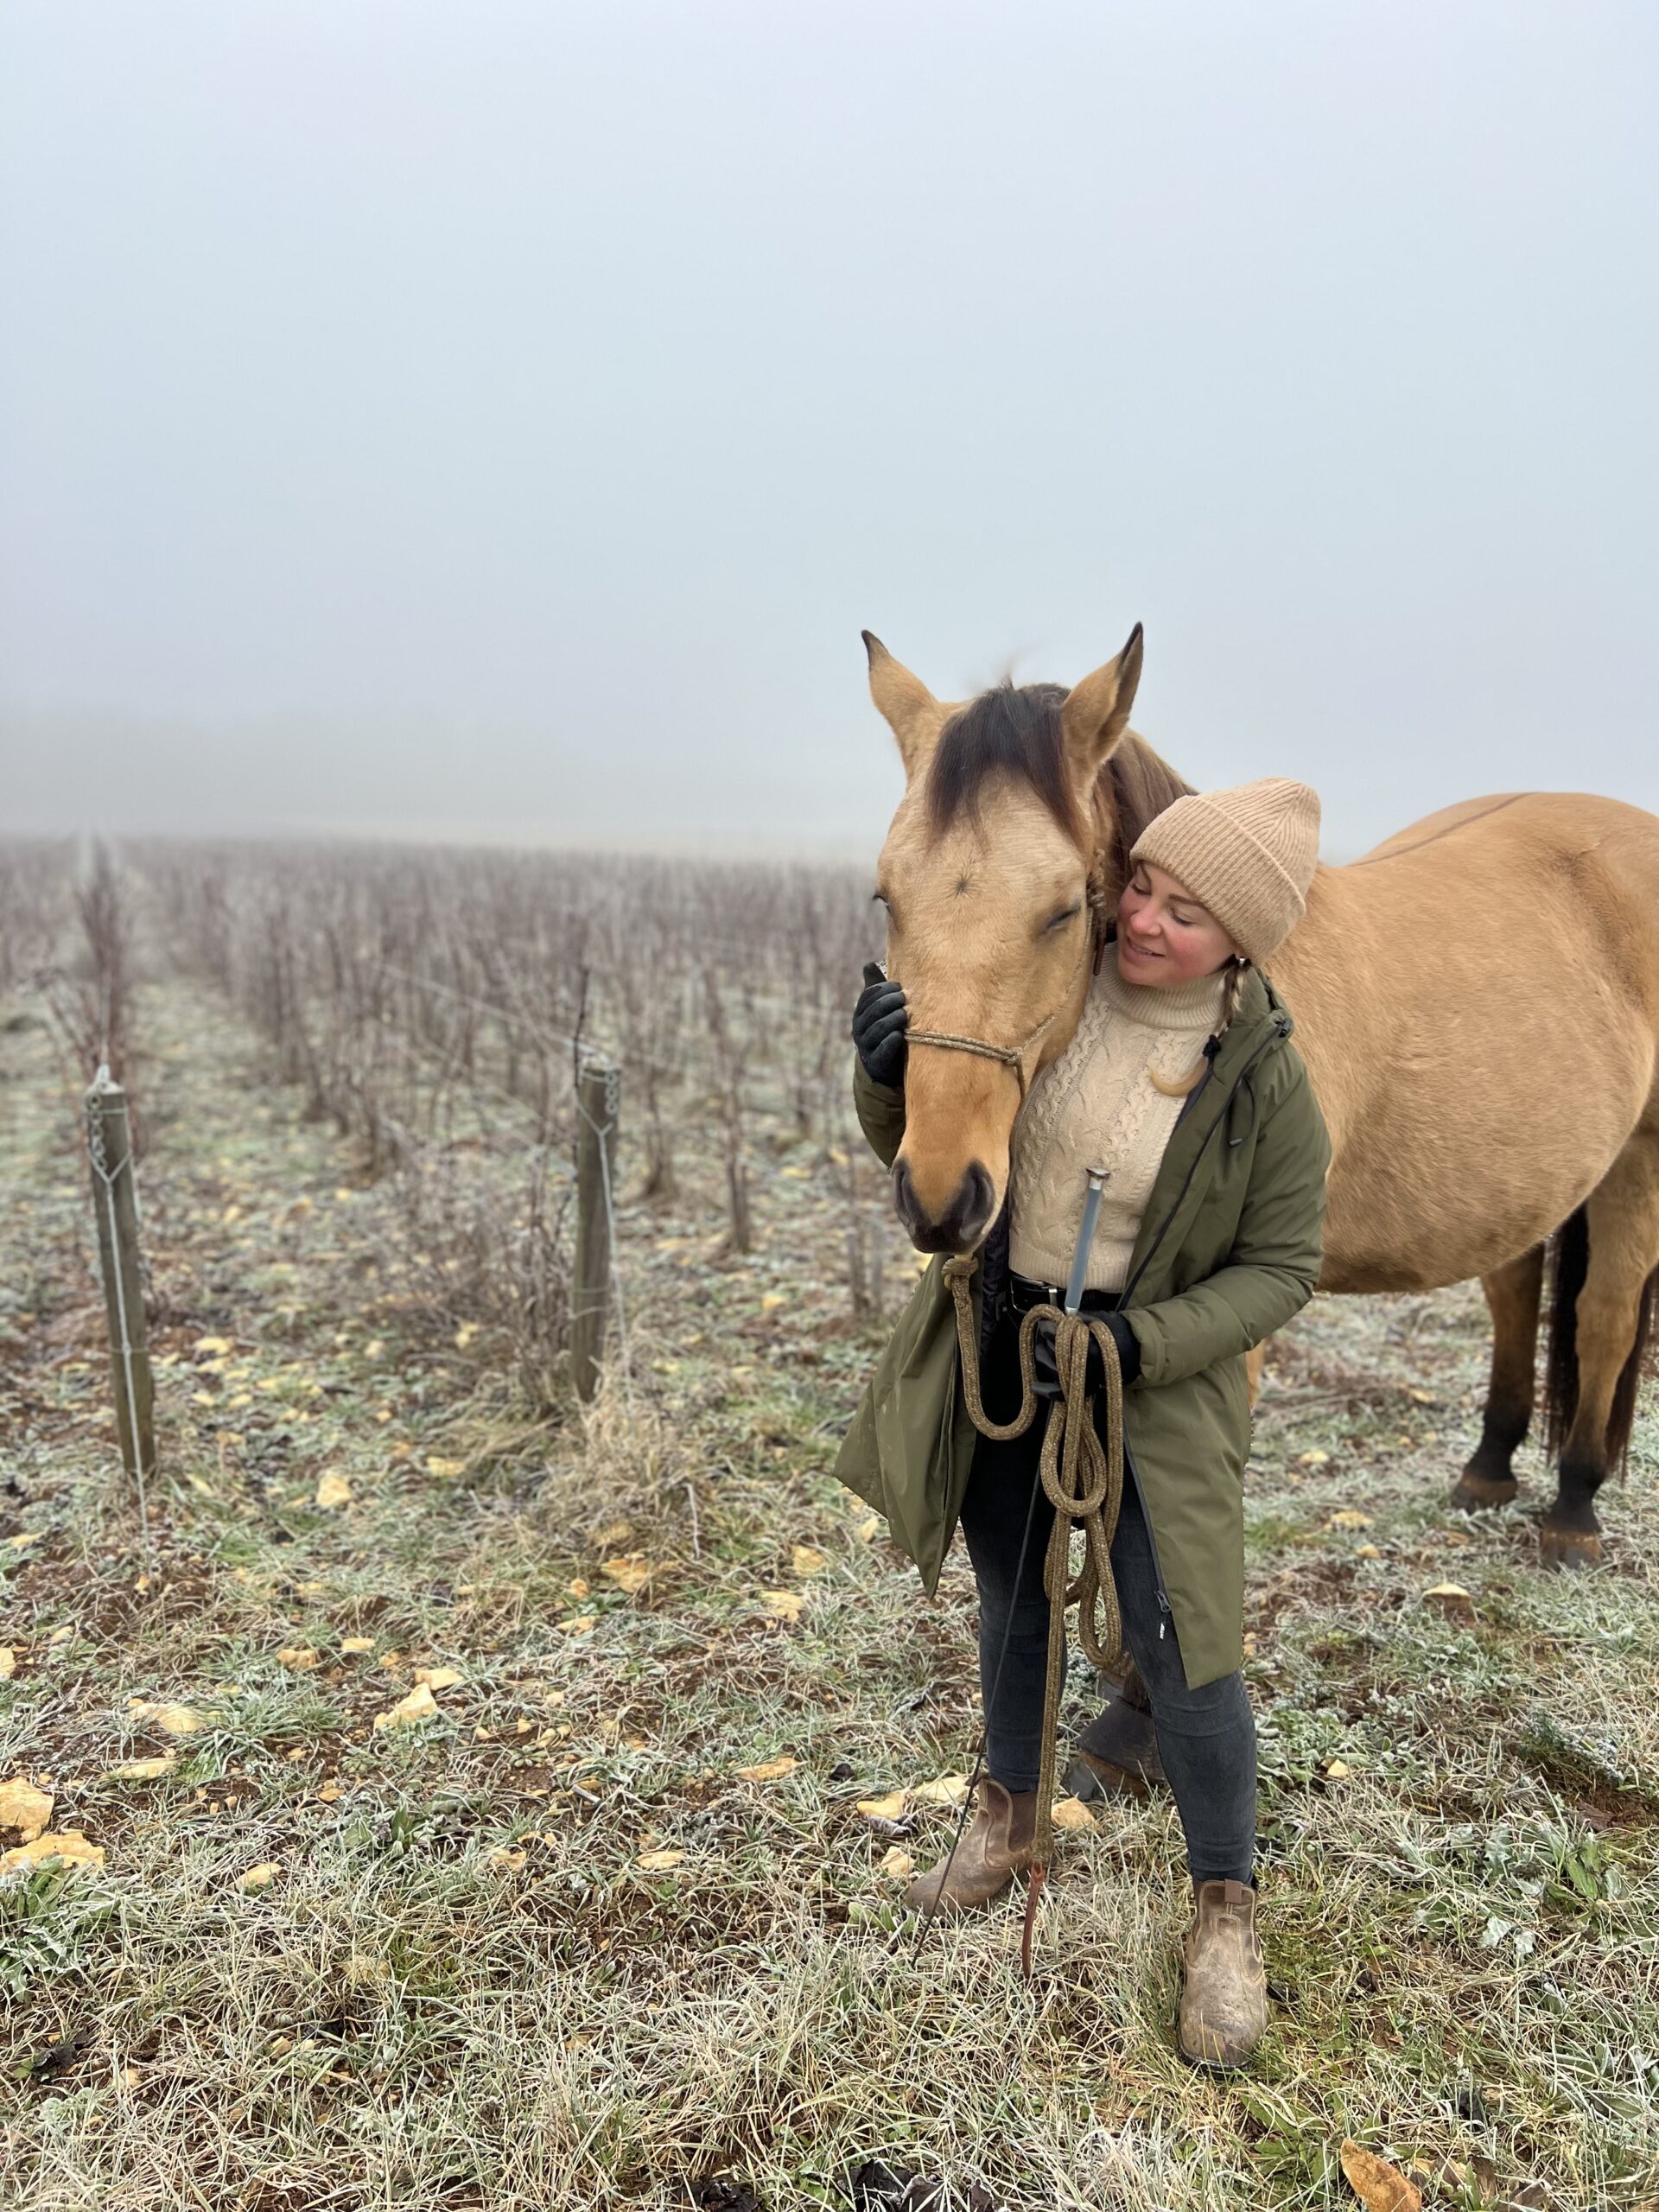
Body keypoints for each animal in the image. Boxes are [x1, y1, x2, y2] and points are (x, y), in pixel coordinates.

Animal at [863, 625, 1659, 1565]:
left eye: (1061, 910)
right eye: (888, 897)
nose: (941, 1197)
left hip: (1637, 1163)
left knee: (1605, 1313)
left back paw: (1574, 1506)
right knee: (1514, 1296)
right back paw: (1487, 1470)